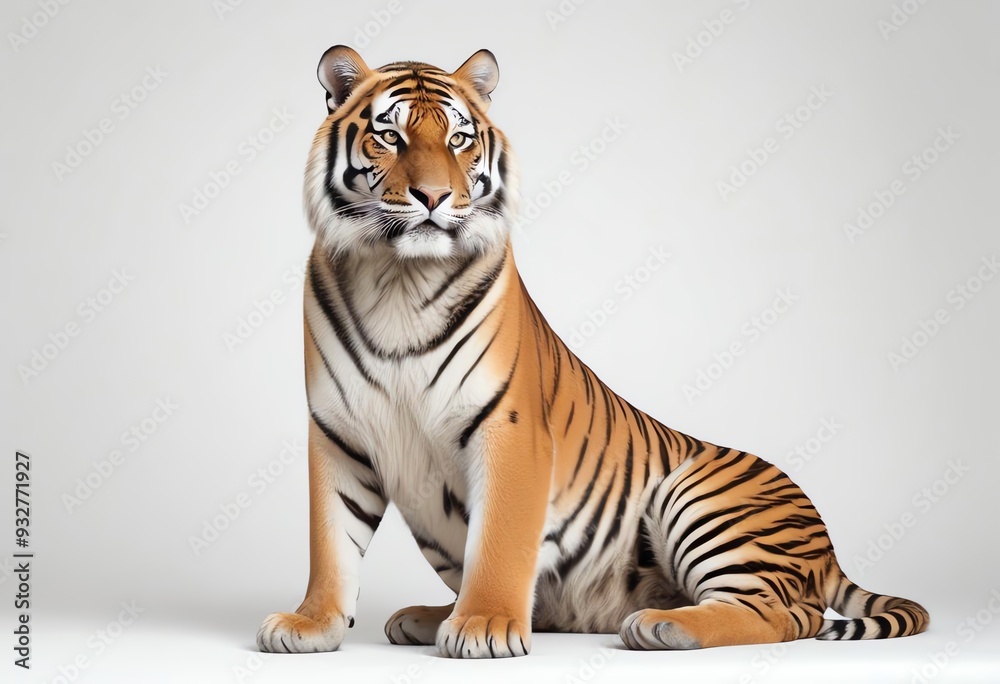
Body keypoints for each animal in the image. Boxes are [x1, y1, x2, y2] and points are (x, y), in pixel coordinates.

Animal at [255, 45, 929, 658]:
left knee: (784, 614)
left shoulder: (508, 427)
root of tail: (828, 544)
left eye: (459, 140)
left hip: (699, 496)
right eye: (389, 137)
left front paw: (484, 627)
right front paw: (311, 625)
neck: (397, 276)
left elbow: (499, 542)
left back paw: (662, 625)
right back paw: (428, 616)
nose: (433, 197)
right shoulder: (337, 432)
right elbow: (331, 541)